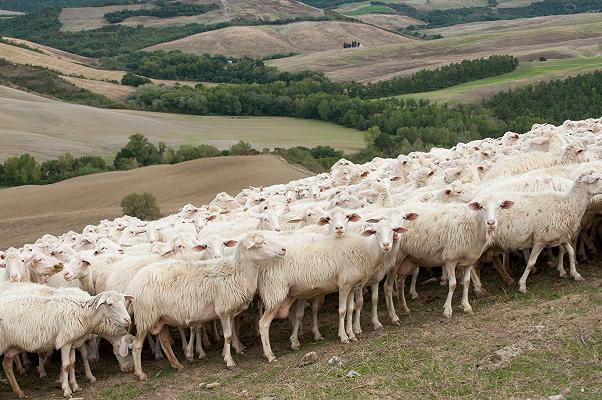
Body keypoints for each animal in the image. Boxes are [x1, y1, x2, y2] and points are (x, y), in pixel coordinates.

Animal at [126, 230, 284, 380]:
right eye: (261, 243)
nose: (283, 249)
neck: (238, 272)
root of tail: (133, 283)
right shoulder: (223, 310)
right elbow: (228, 335)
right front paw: (229, 361)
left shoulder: (230, 311)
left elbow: (232, 332)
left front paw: (229, 352)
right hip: (146, 316)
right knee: (136, 345)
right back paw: (140, 374)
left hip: (160, 317)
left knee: (164, 341)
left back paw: (177, 365)